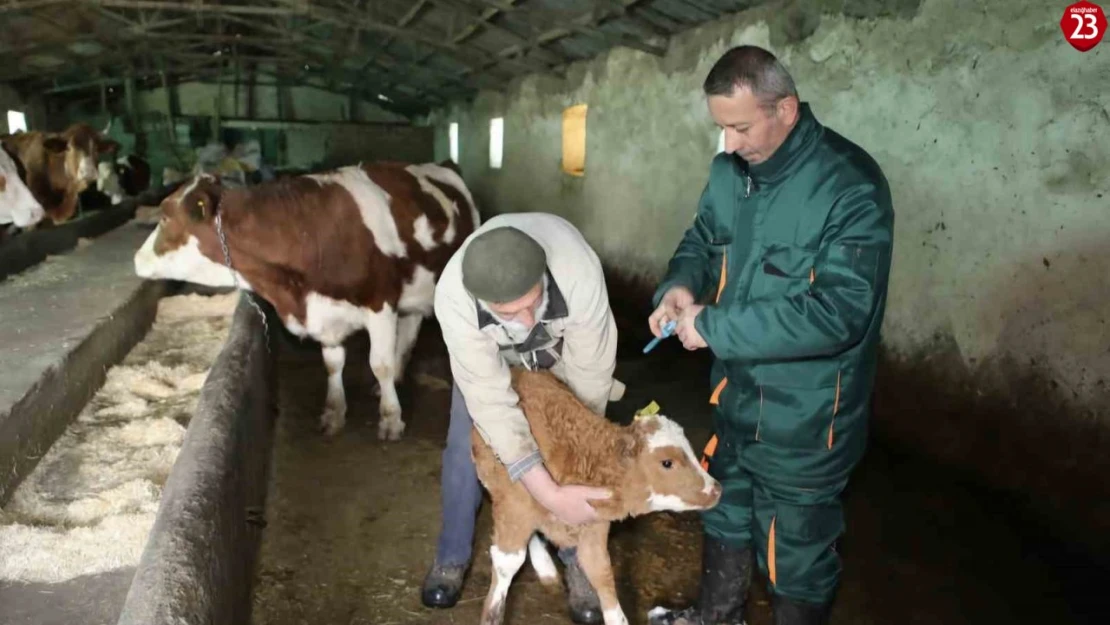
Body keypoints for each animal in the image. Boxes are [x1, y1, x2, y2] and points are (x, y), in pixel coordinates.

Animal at [132, 158, 479, 437]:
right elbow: (333, 364)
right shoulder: (324, 314)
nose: (136, 259)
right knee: (409, 329)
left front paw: (391, 419)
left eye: (164, 218)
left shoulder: (380, 304)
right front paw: (334, 412)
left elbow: (379, 363)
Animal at [472, 368, 723, 625]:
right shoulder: (514, 506)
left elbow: (601, 573)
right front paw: (491, 615)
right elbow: (508, 563)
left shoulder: (593, 526)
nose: (716, 489)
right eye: (667, 462)